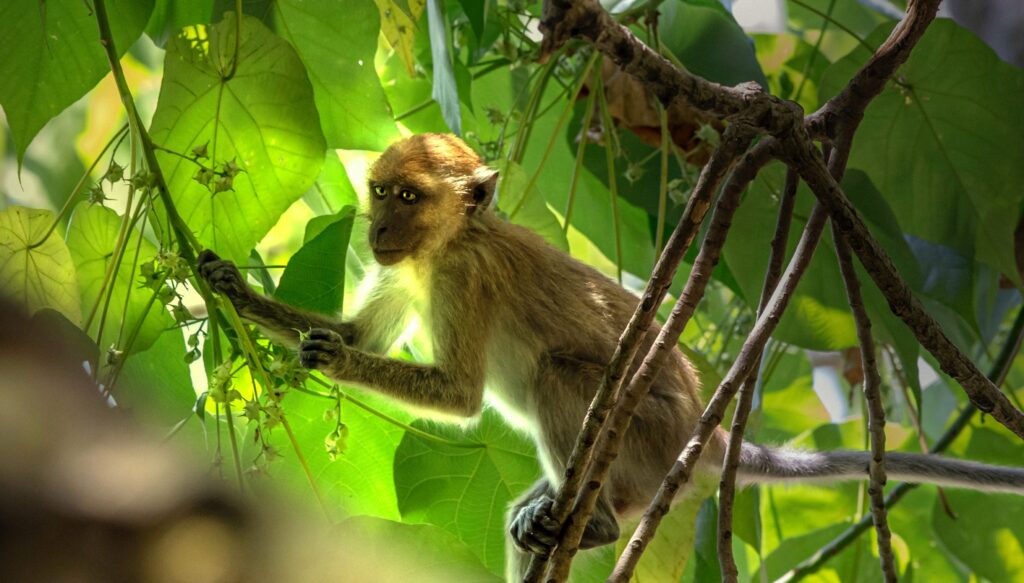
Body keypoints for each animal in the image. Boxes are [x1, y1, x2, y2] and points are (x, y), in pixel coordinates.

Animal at [197, 134, 1024, 577]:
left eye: (409, 196)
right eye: (379, 192)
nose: (376, 230)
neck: (451, 241)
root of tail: (703, 436)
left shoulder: (461, 277)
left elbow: (459, 395)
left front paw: (325, 356)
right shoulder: (410, 268)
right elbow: (366, 335)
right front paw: (231, 288)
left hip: (647, 433)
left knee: (562, 372)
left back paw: (593, 520)